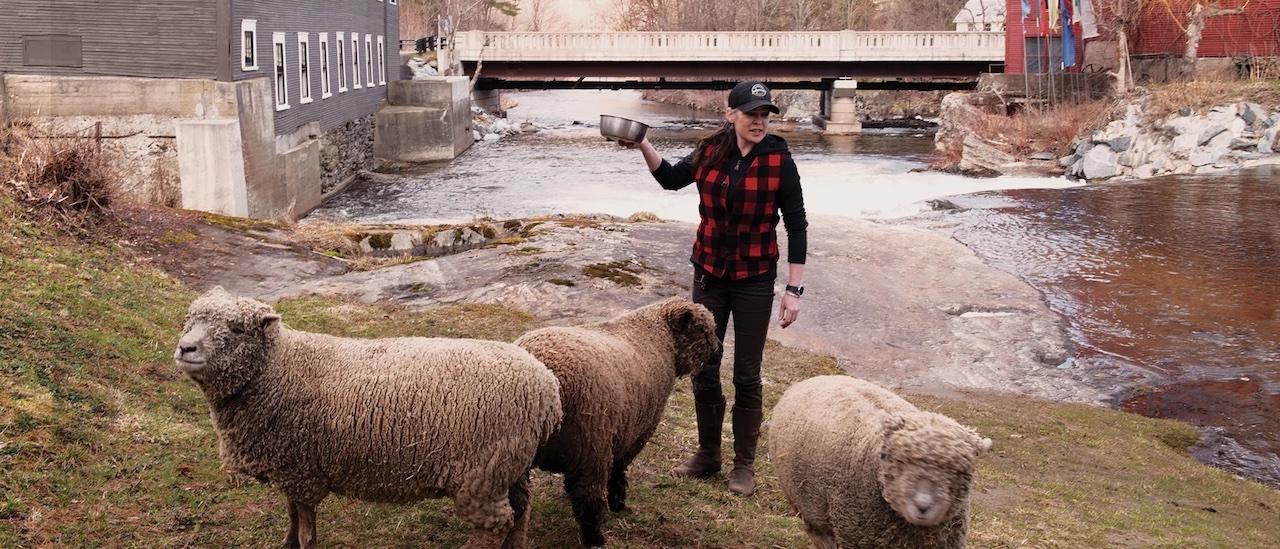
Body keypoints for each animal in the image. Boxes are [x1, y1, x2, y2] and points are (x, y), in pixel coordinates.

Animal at [173, 287, 563, 549]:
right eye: (189, 321)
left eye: (237, 329)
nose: (185, 348)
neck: (278, 367)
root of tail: (547, 389)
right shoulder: (288, 466)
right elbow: (292, 514)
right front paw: (286, 543)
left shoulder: (302, 471)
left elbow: (306, 525)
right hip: (510, 466)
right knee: (521, 511)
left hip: (482, 475)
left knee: (496, 525)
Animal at [514, 297, 719, 547]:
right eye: (702, 330)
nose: (718, 350)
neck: (660, 336)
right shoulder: (637, 430)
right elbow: (619, 466)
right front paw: (617, 501)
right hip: (590, 445)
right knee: (587, 495)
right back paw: (595, 538)